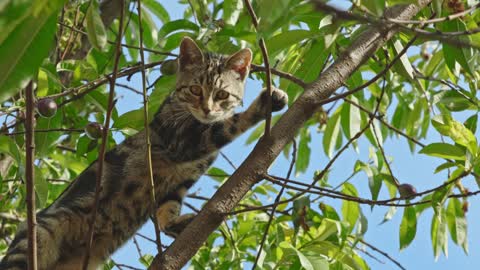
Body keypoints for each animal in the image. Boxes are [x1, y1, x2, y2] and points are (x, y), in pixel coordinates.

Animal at [0, 36, 286, 270]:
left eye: (222, 94)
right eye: (195, 90)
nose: (207, 109)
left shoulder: (180, 181)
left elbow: (167, 208)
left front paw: (174, 224)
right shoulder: (183, 140)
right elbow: (229, 125)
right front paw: (264, 103)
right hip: (38, 237)